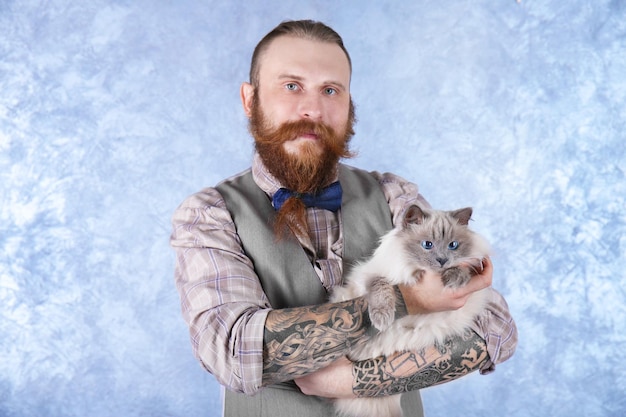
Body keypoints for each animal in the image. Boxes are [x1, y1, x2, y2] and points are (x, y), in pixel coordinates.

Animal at [330, 204, 490, 416]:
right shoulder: (373, 275)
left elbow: (464, 269)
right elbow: (382, 288)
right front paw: (383, 317)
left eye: (453, 245)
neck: (416, 270)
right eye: (427, 244)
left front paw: (453, 278)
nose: (442, 260)